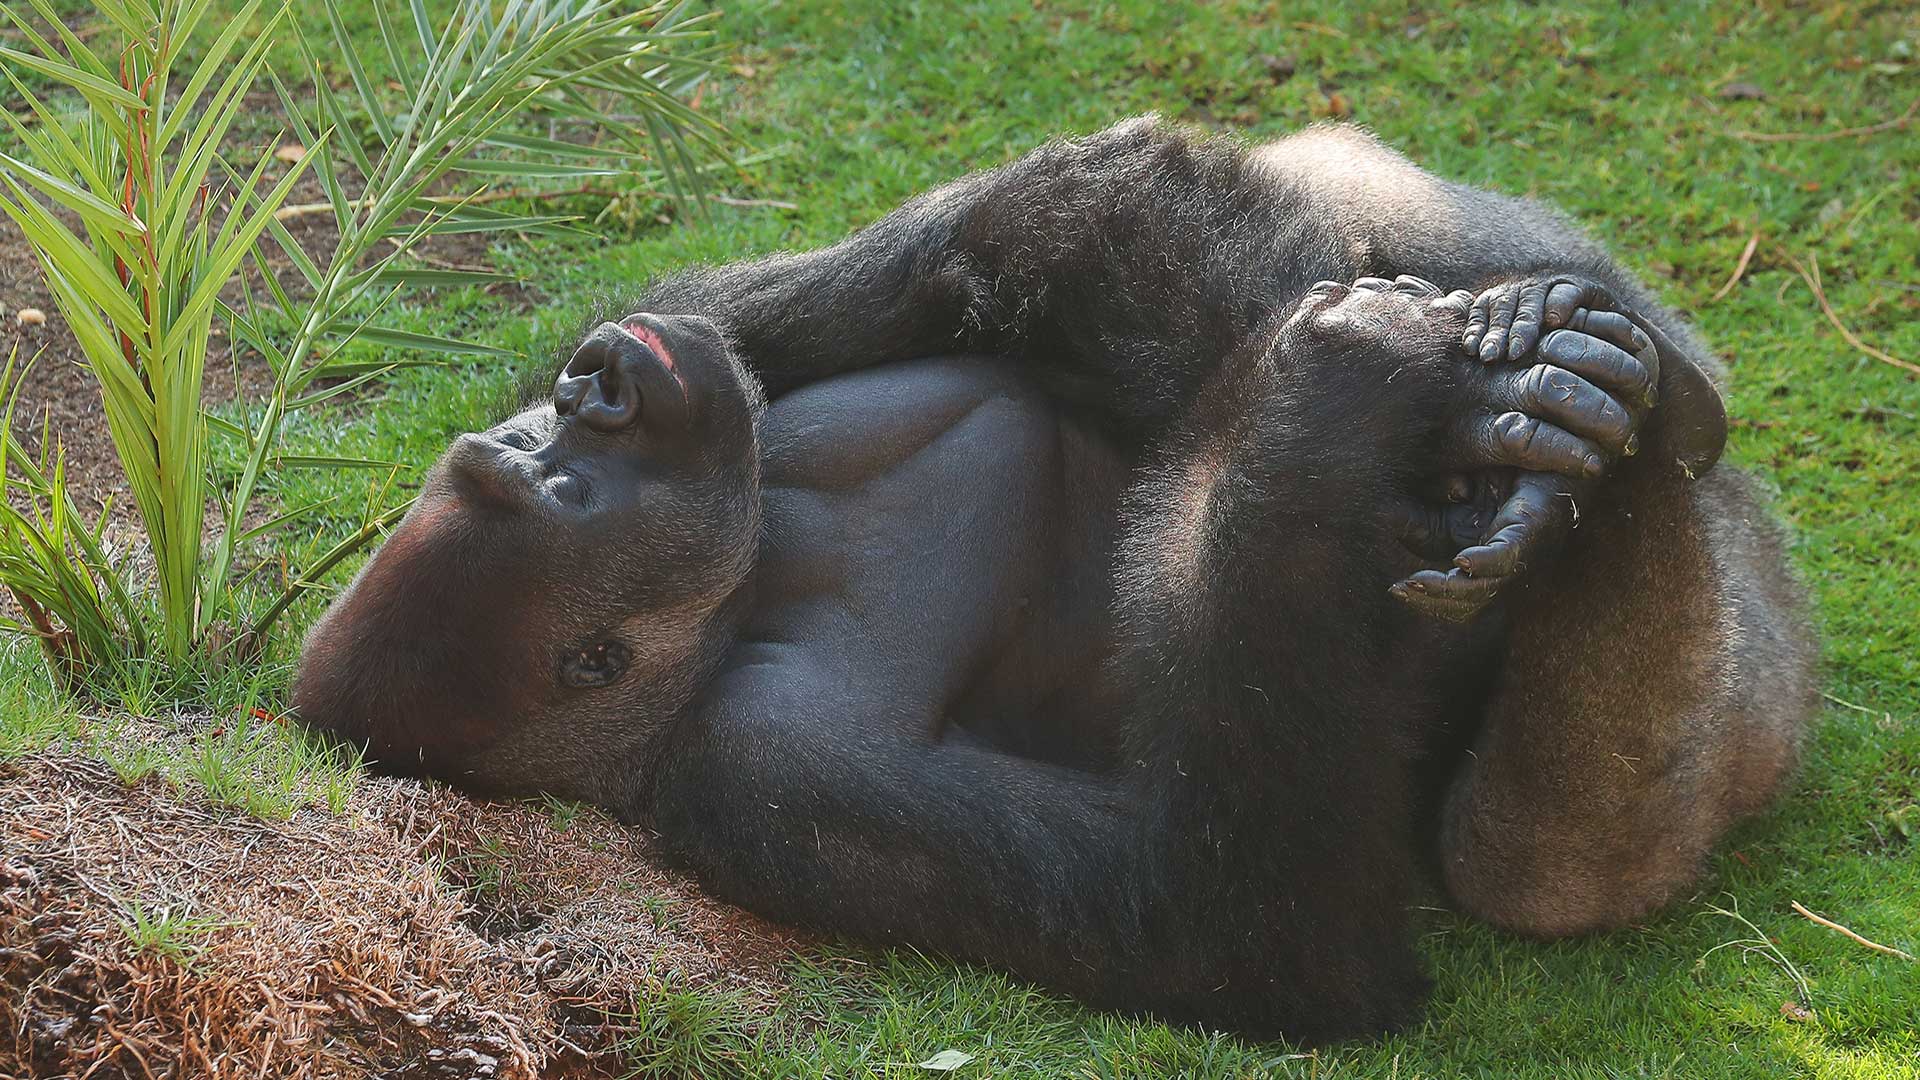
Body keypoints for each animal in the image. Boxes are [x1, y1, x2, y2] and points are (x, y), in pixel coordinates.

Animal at [293, 118, 1815, 1042]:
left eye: (532, 447)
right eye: (559, 488)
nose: (594, 392)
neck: (748, 590)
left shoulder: (730, 388)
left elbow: (911, 275)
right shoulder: (763, 774)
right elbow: (1236, 926)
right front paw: (1346, 382)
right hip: (1732, 709)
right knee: (1546, 859)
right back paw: (1618, 471)